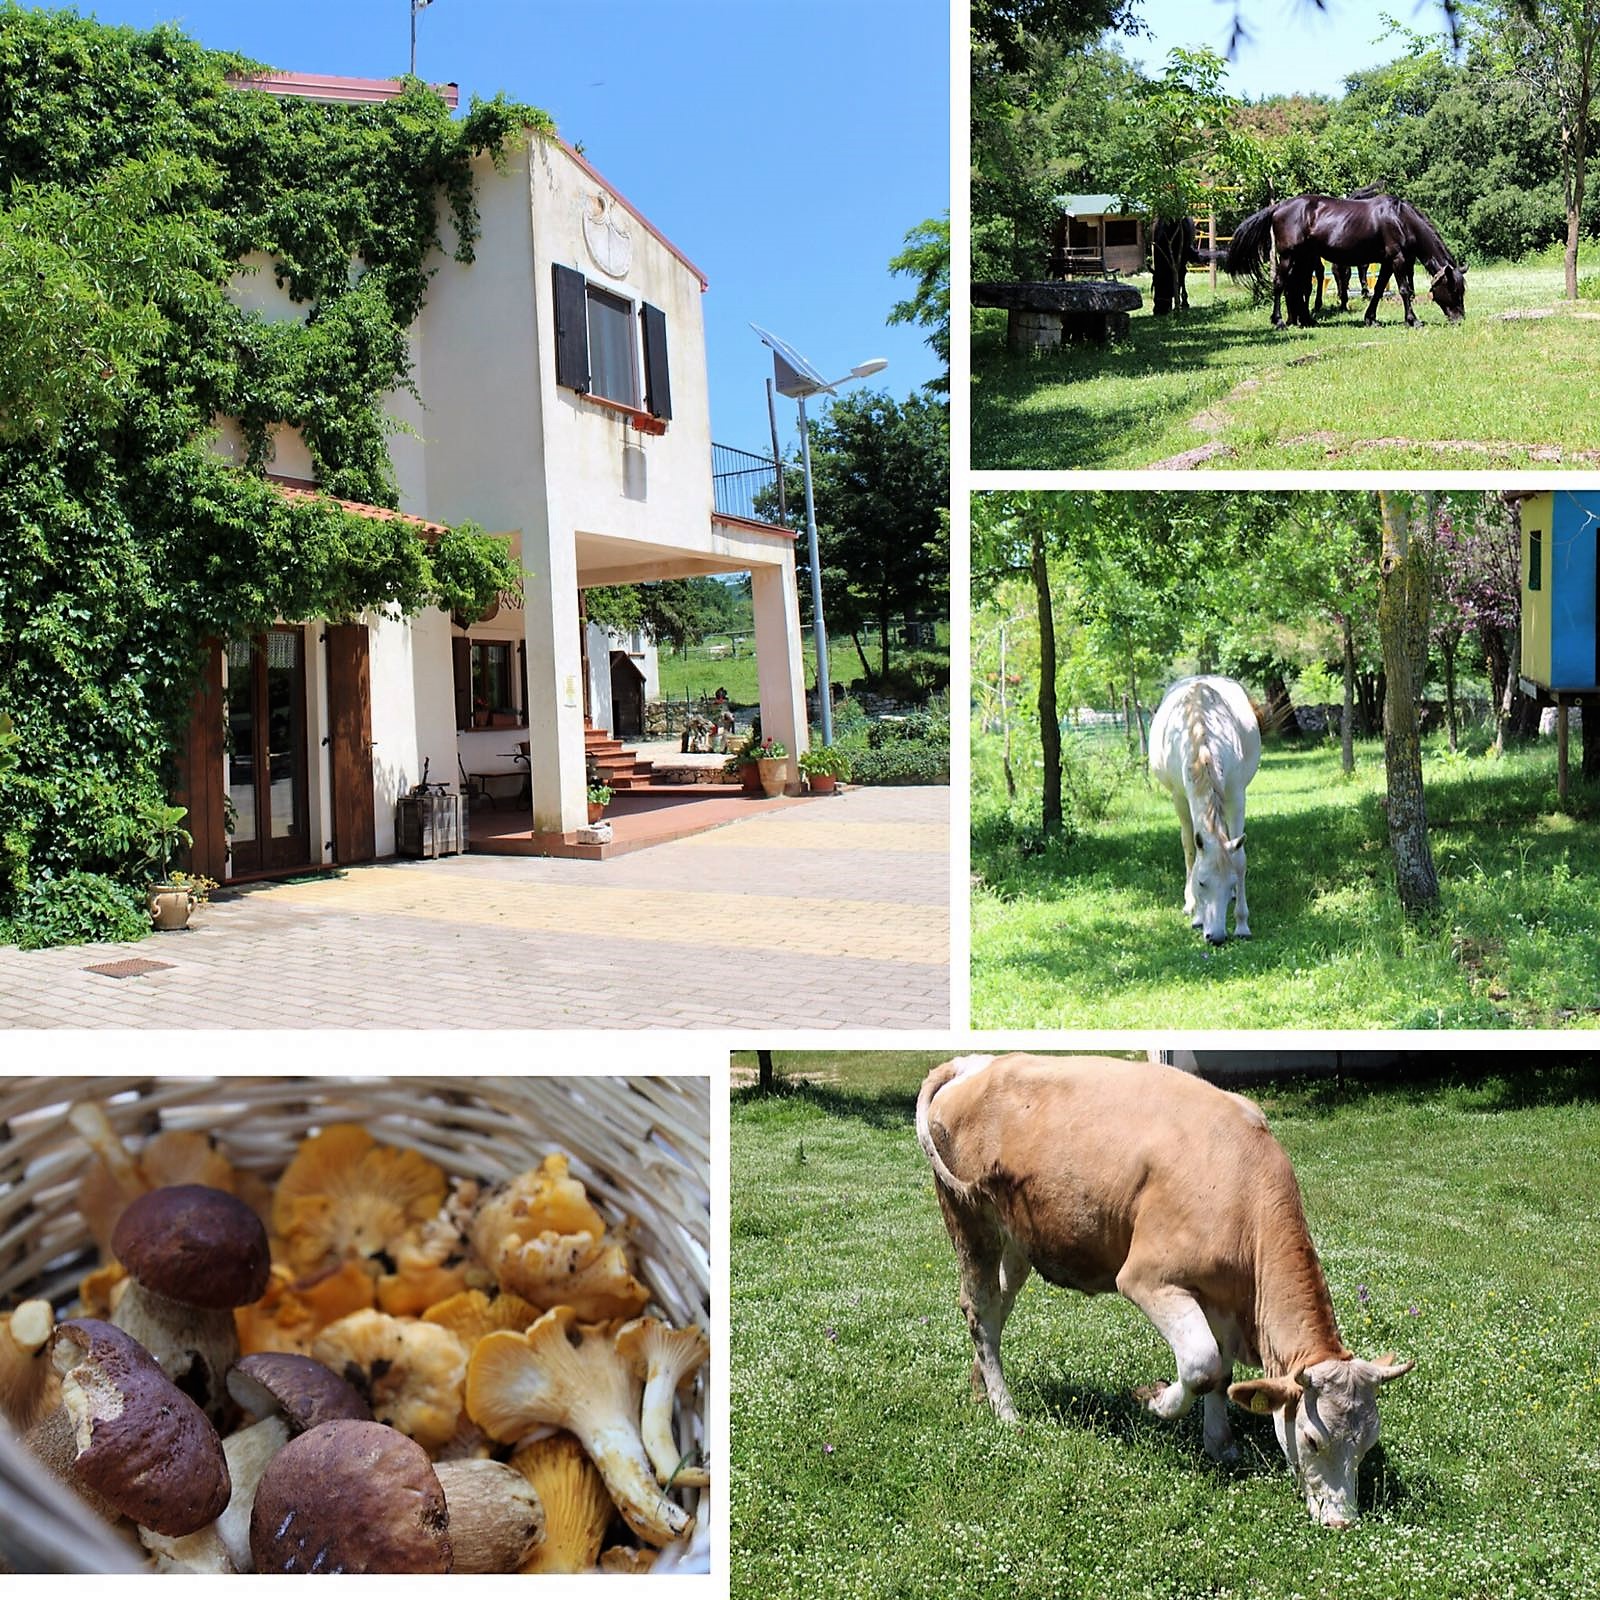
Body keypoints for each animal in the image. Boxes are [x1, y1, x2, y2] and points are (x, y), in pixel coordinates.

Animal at [915, 1049, 1414, 1523]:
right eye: (1312, 1440)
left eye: (1368, 1444)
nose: (1341, 1522)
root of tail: (975, 1063)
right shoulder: (1148, 1278)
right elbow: (1201, 1364)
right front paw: (1154, 1401)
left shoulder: (1219, 1298)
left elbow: (1223, 1376)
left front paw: (1220, 1443)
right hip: (969, 1219)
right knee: (981, 1310)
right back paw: (1006, 1410)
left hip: (1017, 1240)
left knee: (995, 1309)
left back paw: (980, 1387)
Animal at [1152, 672, 1260, 940]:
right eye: (1201, 883)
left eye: (1230, 883)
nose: (1217, 937)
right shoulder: (1181, 798)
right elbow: (1191, 849)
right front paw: (1197, 914)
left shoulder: (1236, 795)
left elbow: (1239, 858)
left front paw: (1242, 923)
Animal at [1228, 192, 1465, 328]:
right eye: (1454, 290)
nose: (1459, 319)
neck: (1400, 219)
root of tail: (1278, 207)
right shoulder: (1397, 259)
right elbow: (1404, 290)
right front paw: (1413, 320)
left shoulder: (1387, 262)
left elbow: (1378, 289)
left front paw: (1371, 319)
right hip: (1289, 256)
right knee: (1280, 284)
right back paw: (1279, 322)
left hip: (1303, 258)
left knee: (1296, 288)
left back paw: (1306, 320)